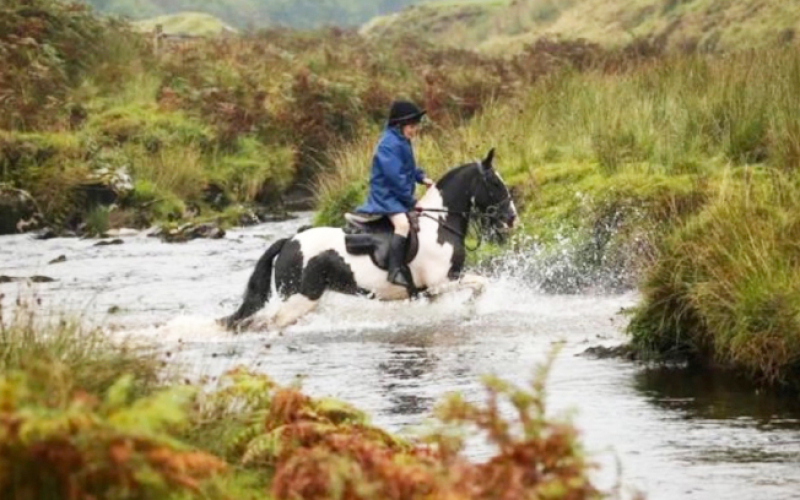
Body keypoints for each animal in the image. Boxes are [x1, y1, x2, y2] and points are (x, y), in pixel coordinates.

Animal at [220, 148, 517, 331]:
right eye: (494, 184)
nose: (512, 217)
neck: (440, 224)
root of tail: (289, 242)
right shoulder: (441, 282)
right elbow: (482, 283)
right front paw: (469, 309)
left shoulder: (434, 291)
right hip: (300, 299)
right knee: (267, 324)